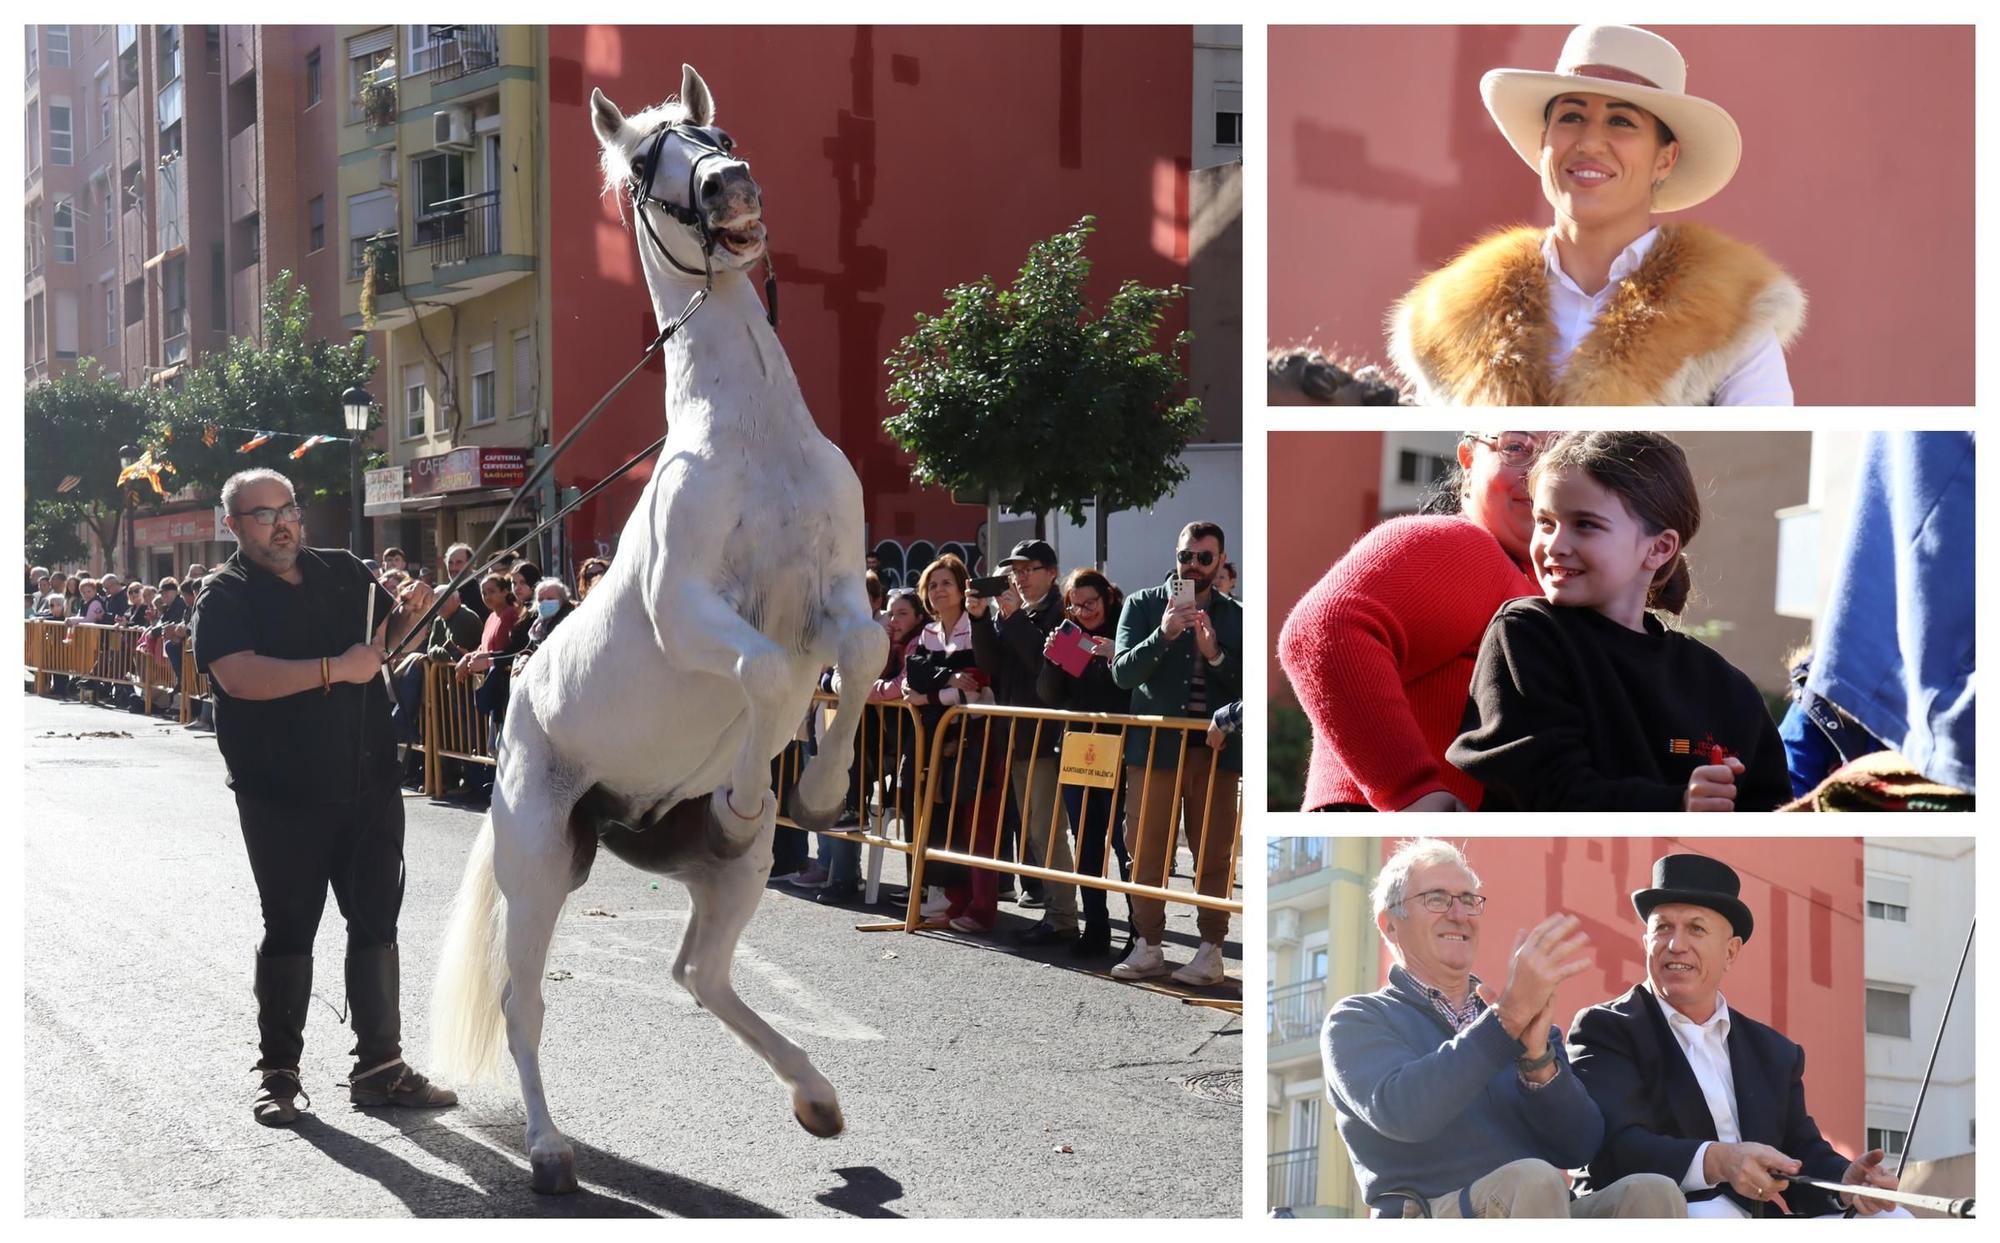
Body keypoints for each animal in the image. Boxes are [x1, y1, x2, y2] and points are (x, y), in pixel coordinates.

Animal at [434, 65, 888, 1199]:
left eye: (712, 128)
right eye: (646, 162)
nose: (731, 186)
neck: (752, 438)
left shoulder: (841, 592)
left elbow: (858, 657)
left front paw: (819, 788)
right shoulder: (686, 609)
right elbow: (764, 671)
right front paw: (750, 782)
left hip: (731, 875)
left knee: (697, 972)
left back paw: (817, 1097)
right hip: (538, 858)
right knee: (523, 1001)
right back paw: (548, 1151)